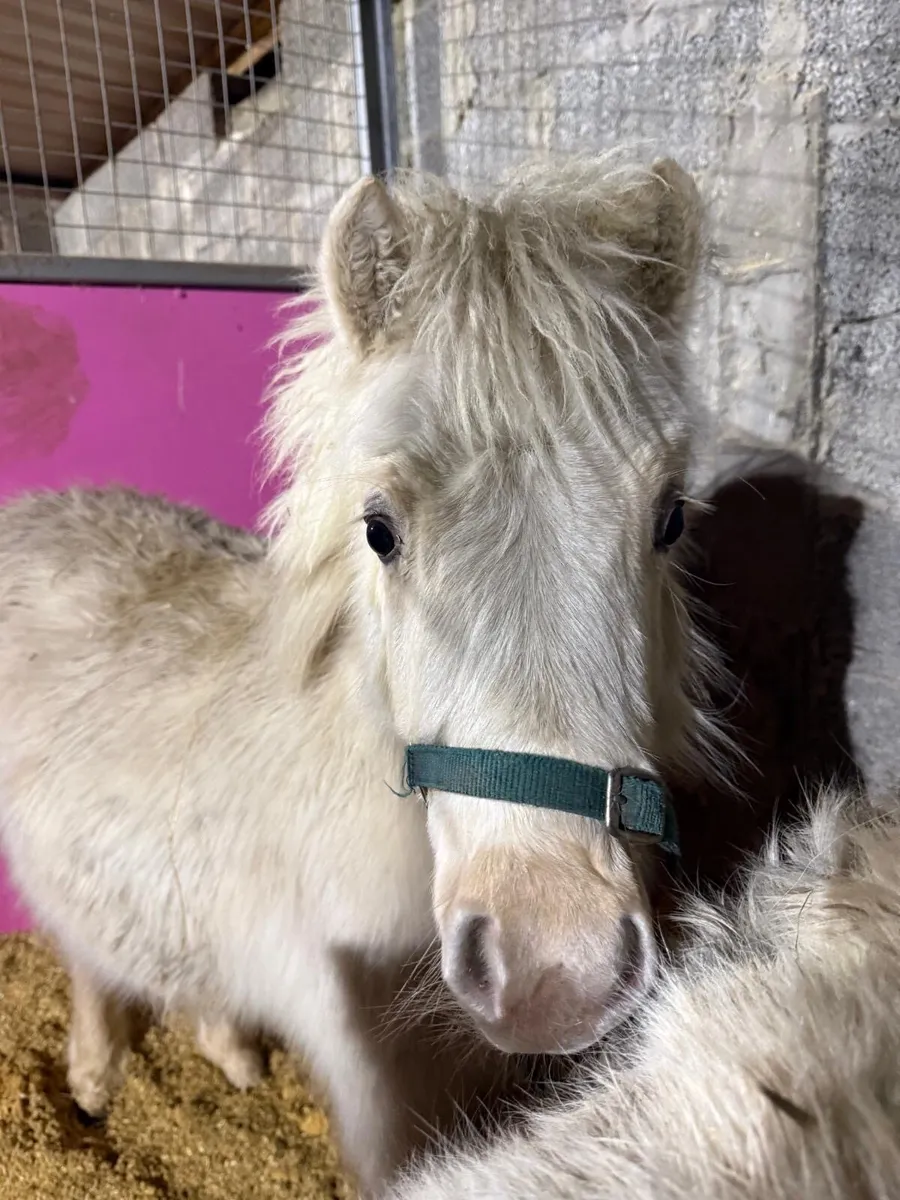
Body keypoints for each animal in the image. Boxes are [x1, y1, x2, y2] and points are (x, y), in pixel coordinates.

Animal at [0, 152, 716, 1193]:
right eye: (379, 530)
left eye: (670, 516)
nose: (555, 965)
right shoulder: (377, 1096)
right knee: (92, 966)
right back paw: (93, 1081)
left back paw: (231, 1057)